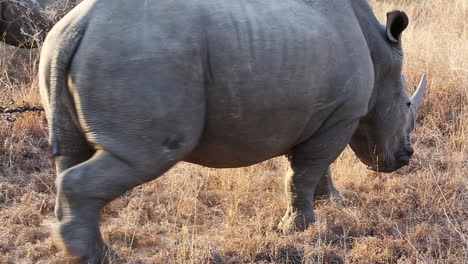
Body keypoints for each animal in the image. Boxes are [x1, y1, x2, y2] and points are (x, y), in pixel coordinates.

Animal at [38, 0, 426, 262]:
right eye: (407, 106)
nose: (406, 157)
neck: (380, 53)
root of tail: (79, 23)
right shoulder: (341, 114)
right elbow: (306, 169)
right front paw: (297, 229)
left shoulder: (320, 115)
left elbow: (312, 167)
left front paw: (329, 202)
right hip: (138, 59)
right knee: (142, 157)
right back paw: (98, 257)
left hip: (65, 52)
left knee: (70, 154)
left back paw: (71, 243)